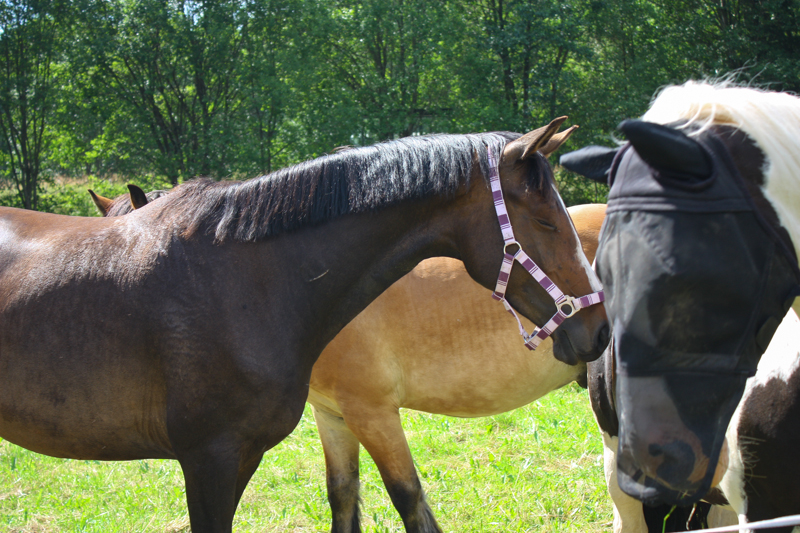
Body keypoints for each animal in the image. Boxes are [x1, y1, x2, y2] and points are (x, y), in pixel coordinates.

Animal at [0, 119, 609, 533]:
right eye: (546, 221)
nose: (599, 330)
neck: (246, 282)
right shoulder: (308, 423)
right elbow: (357, 500)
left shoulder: (351, 414)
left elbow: (399, 503)